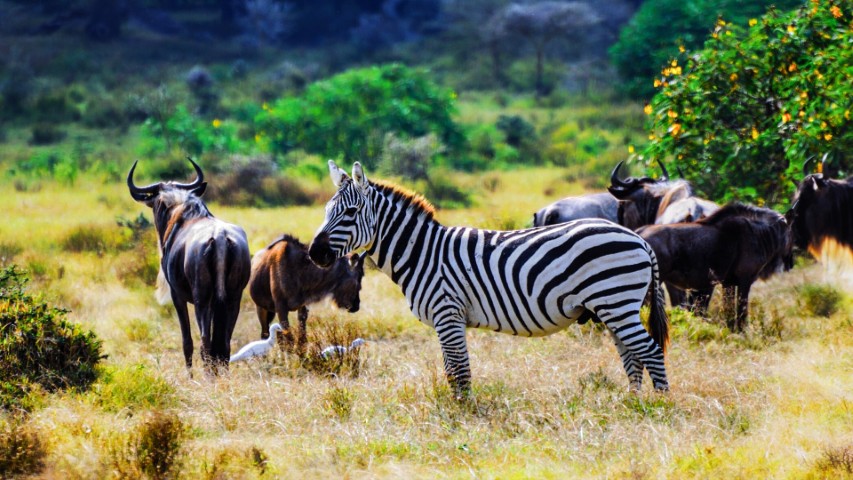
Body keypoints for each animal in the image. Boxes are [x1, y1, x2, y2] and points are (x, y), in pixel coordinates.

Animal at [309, 161, 670, 398]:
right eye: (326, 211)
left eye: (350, 212)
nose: (315, 253)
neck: (422, 252)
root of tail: (638, 239)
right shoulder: (447, 320)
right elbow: (452, 370)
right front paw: (459, 409)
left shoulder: (448, 313)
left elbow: (459, 371)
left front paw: (463, 413)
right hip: (612, 308)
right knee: (632, 356)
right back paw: (632, 403)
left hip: (617, 301)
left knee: (650, 351)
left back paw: (659, 406)